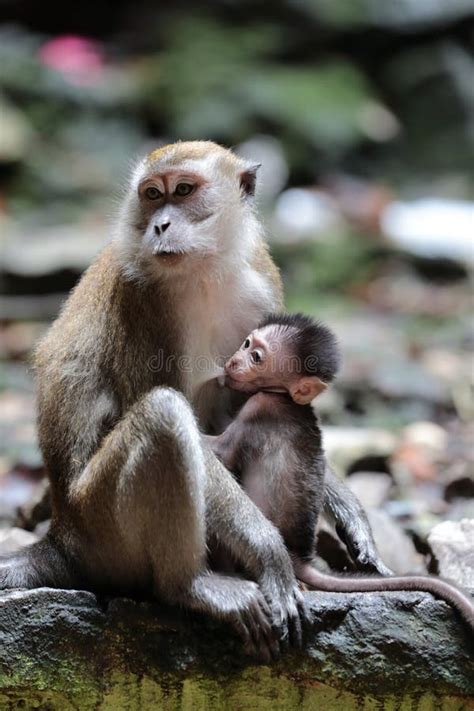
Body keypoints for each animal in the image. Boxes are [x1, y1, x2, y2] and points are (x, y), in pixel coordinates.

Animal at [0, 140, 386, 660]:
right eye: (151, 195)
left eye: (183, 191)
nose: (160, 225)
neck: (204, 270)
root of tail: (61, 536)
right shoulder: (139, 300)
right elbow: (195, 430)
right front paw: (270, 552)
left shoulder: (262, 281)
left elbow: (259, 405)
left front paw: (350, 512)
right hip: (102, 527)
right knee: (165, 415)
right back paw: (191, 586)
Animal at [204, 312, 474, 636]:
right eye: (246, 343)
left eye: (256, 357)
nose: (233, 362)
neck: (286, 399)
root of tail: (298, 556)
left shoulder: (259, 408)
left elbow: (222, 453)